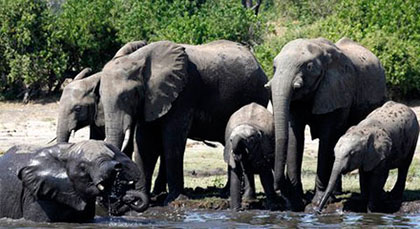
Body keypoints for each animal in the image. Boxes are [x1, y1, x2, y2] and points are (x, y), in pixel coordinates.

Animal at [99, 39, 268, 204]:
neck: (139, 59)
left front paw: (174, 200)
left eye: (128, 96)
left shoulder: (184, 93)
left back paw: (229, 193)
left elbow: (172, 140)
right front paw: (139, 199)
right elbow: (145, 142)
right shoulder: (151, 99)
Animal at [270, 36, 388, 210]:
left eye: (309, 67)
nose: (285, 191)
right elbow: (295, 137)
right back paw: (336, 192)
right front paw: (297, 201)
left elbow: (327, 138)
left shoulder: (337, 91)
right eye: (274, 67)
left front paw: (317, 201)